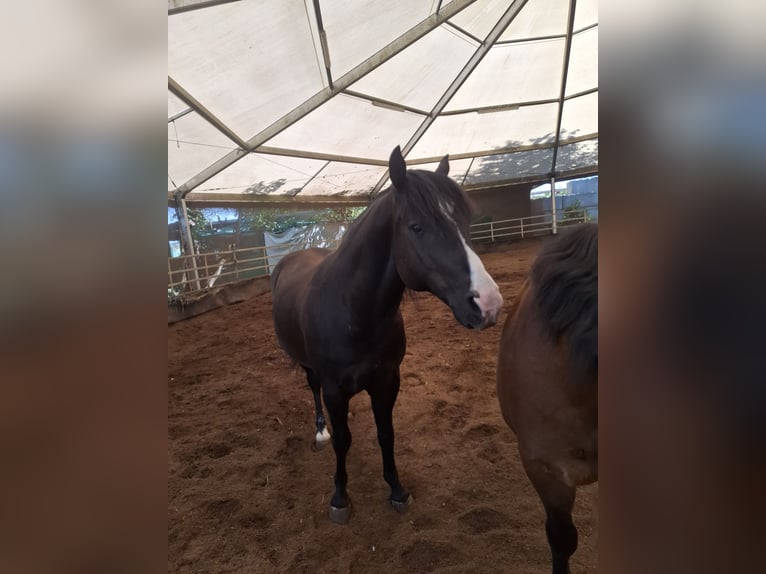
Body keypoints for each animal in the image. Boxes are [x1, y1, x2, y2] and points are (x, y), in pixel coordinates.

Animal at [271, 145, 503, 524]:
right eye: (417, 226)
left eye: (465, 221)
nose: (488, 303)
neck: (354, 312)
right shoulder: (335, 389)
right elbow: (343, 441)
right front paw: (340, 498)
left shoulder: (387, 381)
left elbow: (386, 433)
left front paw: (396, 488)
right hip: (308, 368)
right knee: (313, 389)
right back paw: (320, 431)